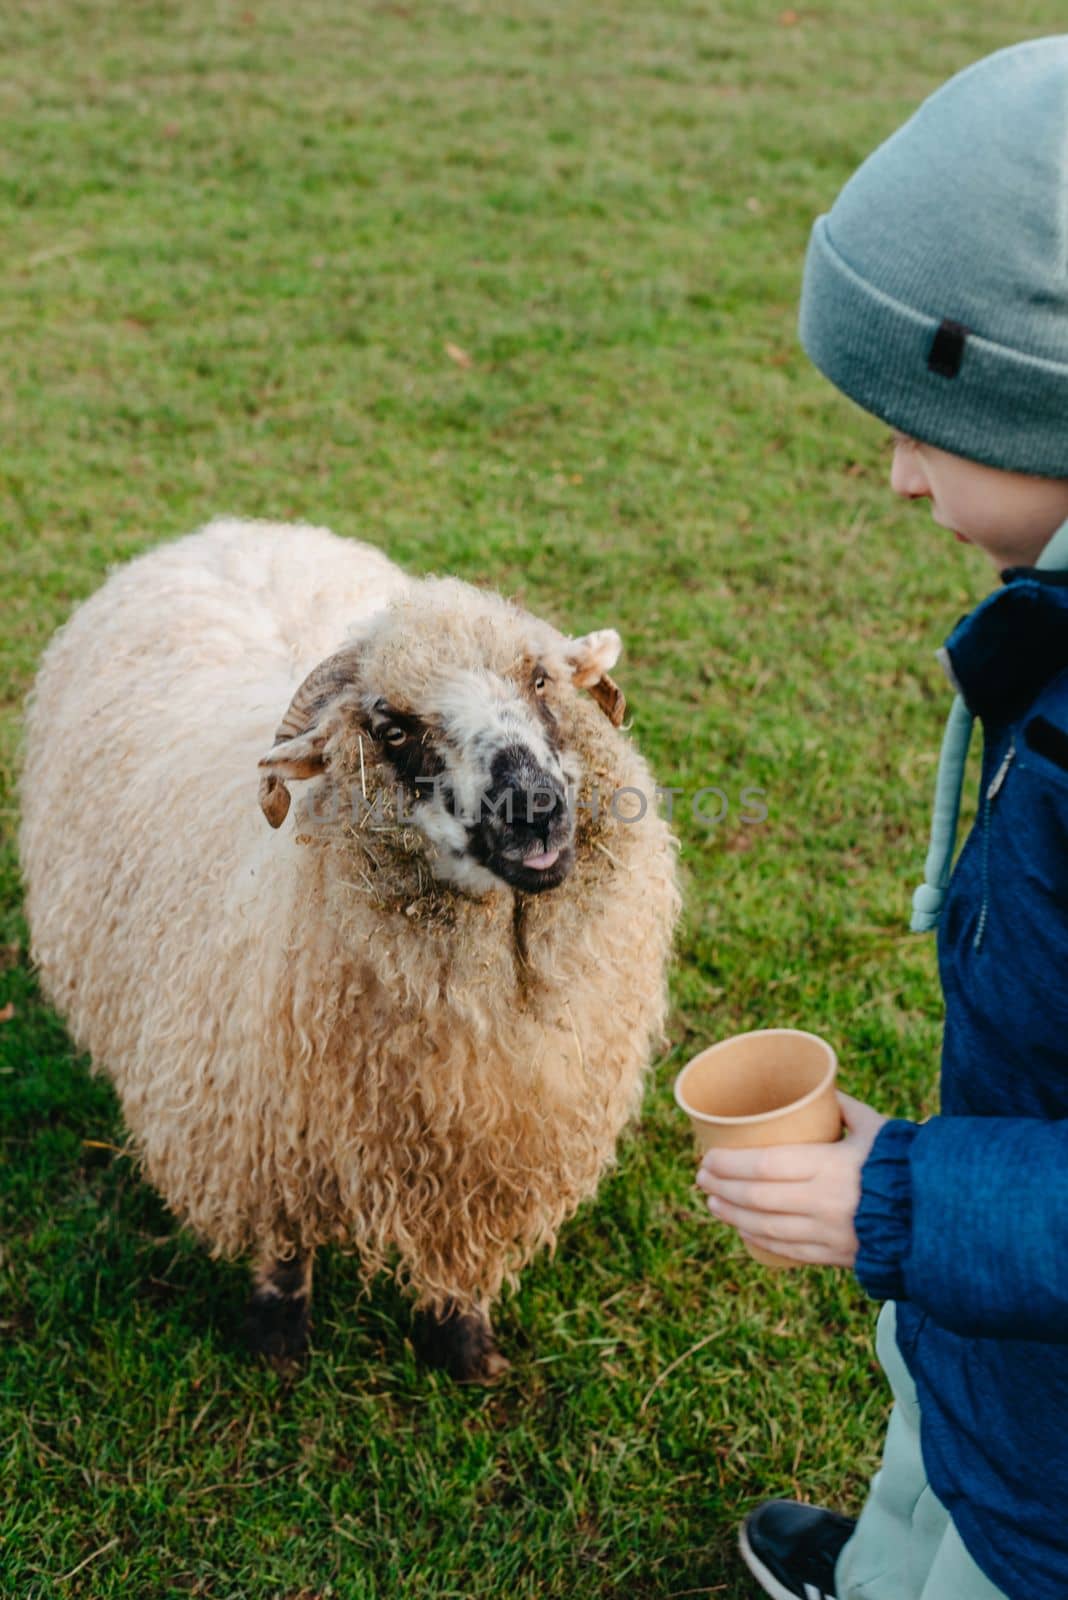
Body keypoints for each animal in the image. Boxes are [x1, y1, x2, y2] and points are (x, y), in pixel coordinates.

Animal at [20, 518, 681, 1382]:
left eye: (540, 679)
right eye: (391, 726)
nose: (533, 806)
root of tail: (230, 530)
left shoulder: (489, 1145)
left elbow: (460, 1254)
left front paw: (463, 1343)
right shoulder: (268, 1119)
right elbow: (283, 1239)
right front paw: (278, 1338)